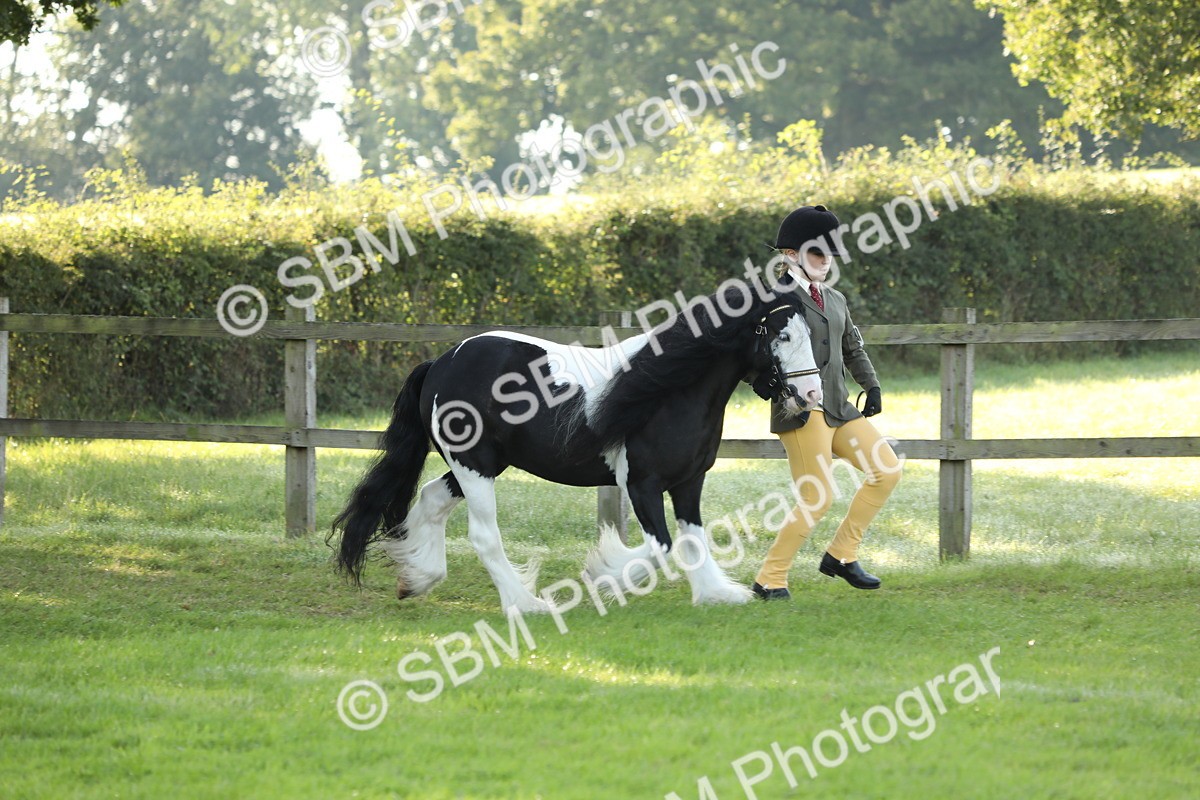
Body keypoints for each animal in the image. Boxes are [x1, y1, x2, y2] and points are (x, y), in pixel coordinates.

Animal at [331, 275, 823, 614]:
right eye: (781, 336)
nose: (812, 395)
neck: (668, 394)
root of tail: (440, 362)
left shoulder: (689, 482)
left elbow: (693, 539)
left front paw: (717, 593)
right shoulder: (641, 484)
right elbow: (661, 547)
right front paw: (605, 572)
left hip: (482, 464)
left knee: (432, 499)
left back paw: (417, 578)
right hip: (476, 465)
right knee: (483, 535)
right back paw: (525, 604)